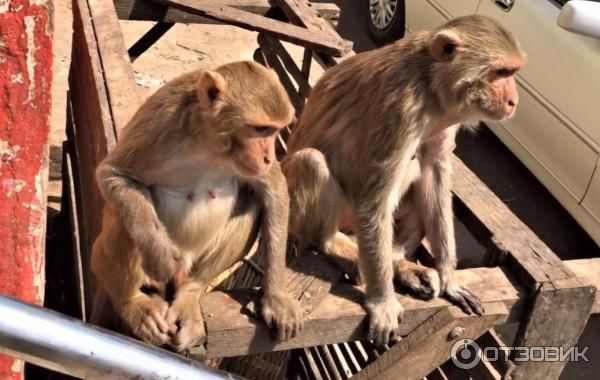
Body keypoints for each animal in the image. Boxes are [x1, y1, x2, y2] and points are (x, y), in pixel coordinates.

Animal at [92, 60, 304, 354]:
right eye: (260, 129)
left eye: (274, 130)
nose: (268, 157)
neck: (210, 144)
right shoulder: (160, 125)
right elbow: (113, 174)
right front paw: (160, 255)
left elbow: (274, 191)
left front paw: (276, 298)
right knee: (129, 221)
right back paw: (132, 302)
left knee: (251, 202)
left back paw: (190, 294)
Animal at [284, 16, 524, 346]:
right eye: (500, 72)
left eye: (512, 72)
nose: (514, 101)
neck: (431, 84)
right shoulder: (401, 109)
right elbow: (374, 201)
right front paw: (383, 302)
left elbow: (434, 172)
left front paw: (449, 279)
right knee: (311, 162)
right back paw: (333, 243)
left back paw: (400, 265)